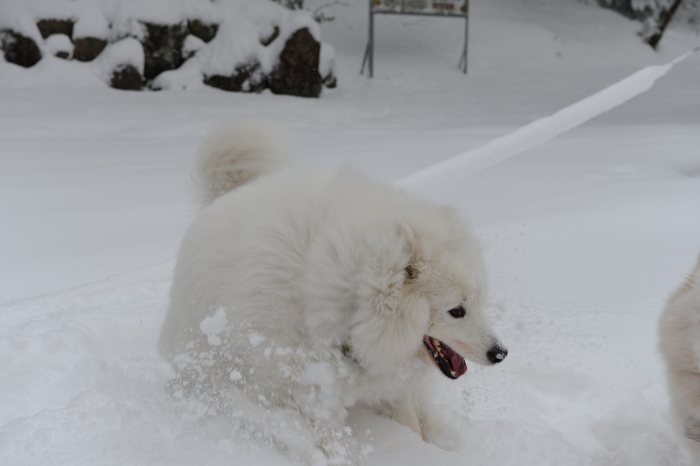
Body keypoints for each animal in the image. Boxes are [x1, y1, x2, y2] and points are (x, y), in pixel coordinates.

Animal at [159, 122, 508, 464]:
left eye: (479, 302)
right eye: (457, 310)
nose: (501, 353)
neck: (350, 299)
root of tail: (228, 194)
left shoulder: (387, 377)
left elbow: (407, 416)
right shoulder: (306, 384)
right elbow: (325, 436)